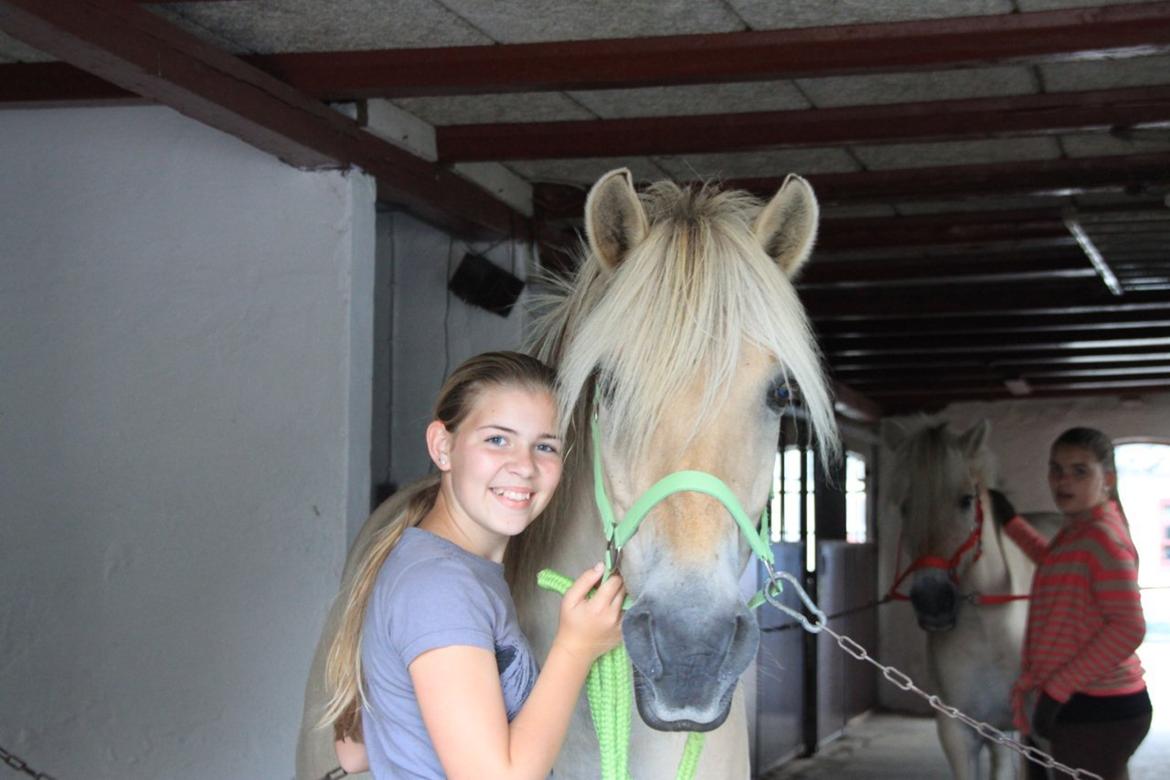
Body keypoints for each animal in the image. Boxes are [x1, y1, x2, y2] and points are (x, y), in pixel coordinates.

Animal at [884, 420, 1062, 780]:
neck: (988, 630)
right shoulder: (959, 732)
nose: (933, 601)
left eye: (966, 500)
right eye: (906, 506)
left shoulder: (1042, 735)